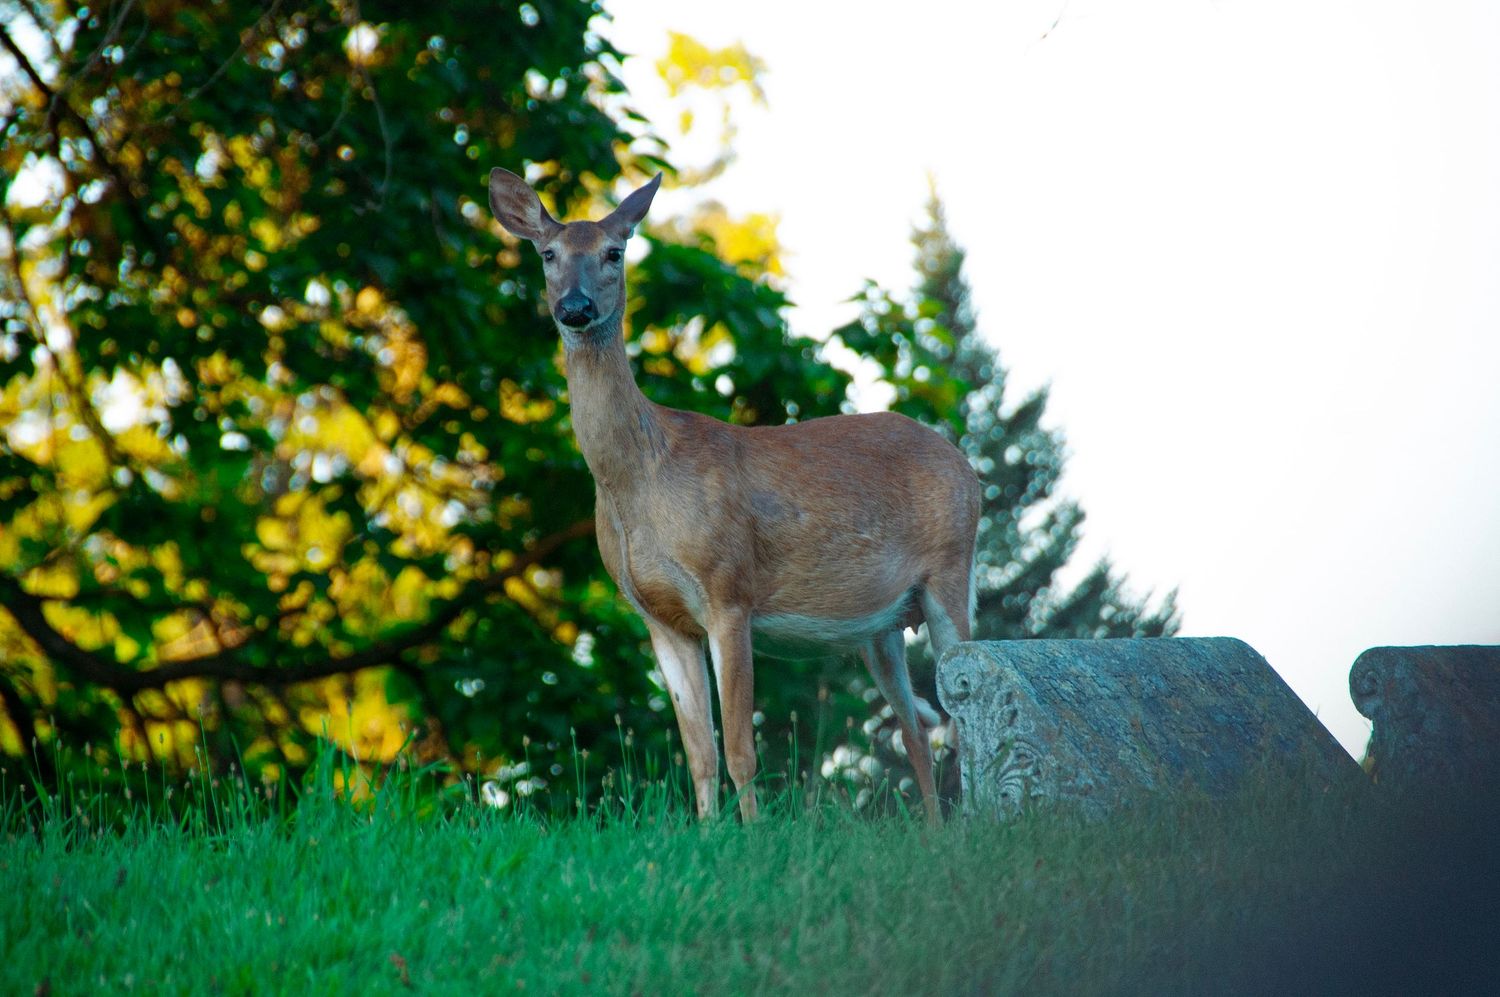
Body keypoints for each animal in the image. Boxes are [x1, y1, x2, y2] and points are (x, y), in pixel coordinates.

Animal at [487, 167, 981, 822]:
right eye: (548, 254)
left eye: (615, 252)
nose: (575, 308)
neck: (639, 482)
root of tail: (966, 464)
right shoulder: (660, 618)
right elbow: (698, 753)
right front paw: (706, 834)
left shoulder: (730, 591)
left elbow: (742, 750)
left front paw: (753, 838)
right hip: (882, 624)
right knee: (915, 728)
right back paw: (935, 830)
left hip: (950, 570)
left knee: (961, 711)